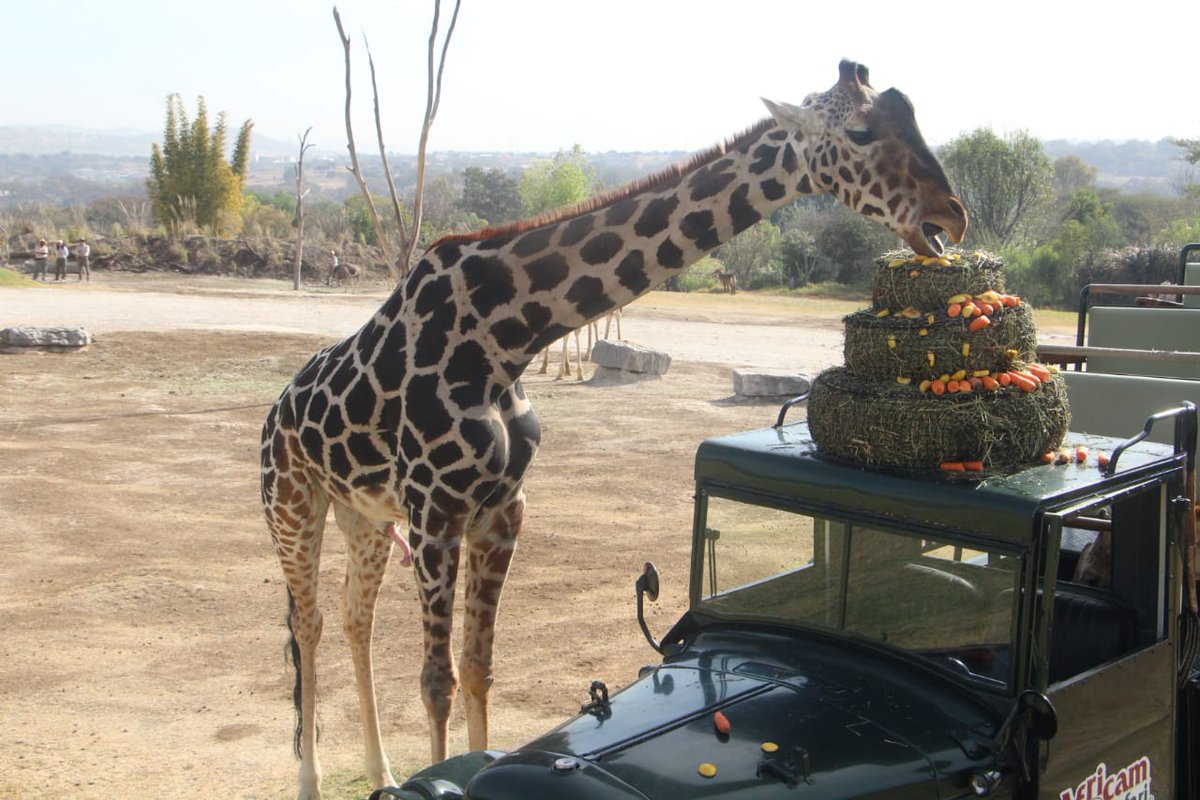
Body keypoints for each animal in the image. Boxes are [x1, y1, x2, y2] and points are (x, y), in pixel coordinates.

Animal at [261, 59, 966, 799]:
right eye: (859, 134)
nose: (952, 214)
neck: (503, 337)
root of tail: (277, 410)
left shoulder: (502, 509)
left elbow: (480, 668)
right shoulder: (436, 510)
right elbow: (436, 682)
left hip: (363, 515)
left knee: (354, 618)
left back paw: (380, 767)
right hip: (293, 504)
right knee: (308, 621)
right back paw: (311, 781)